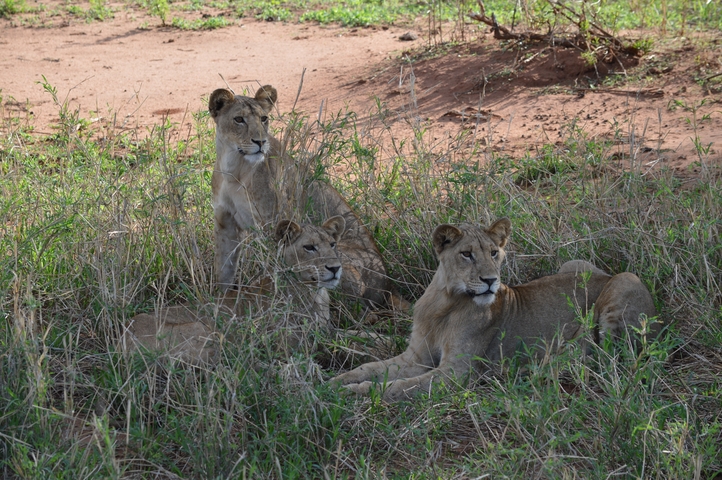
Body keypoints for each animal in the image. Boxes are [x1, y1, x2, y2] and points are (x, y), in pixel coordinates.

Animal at [122, 216, 347, 363]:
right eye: (309, 247)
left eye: (332, 244)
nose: (335, 268)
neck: (316, 293)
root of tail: (121, 338)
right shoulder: (291, 350)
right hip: (204, 330)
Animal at [208, 86, 406, 312]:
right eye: (239, 119)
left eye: (264, 118)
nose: (260, 142)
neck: (234, 167)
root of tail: (389, 288)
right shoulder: (225, 221)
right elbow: (224, 267)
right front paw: (221, 301)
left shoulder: (272, 222)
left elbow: (272, 265)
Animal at [330, 218, 661, 401]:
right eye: (466, 254)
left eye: (494, 253)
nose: (491, 281)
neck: (445, 302)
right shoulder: (417, 357)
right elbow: (371, 368)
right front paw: (337, 381)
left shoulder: (455, 374)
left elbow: (398, 387)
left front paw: (353, 394)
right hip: (574, 264)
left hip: (624, 282)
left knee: (609, 358)